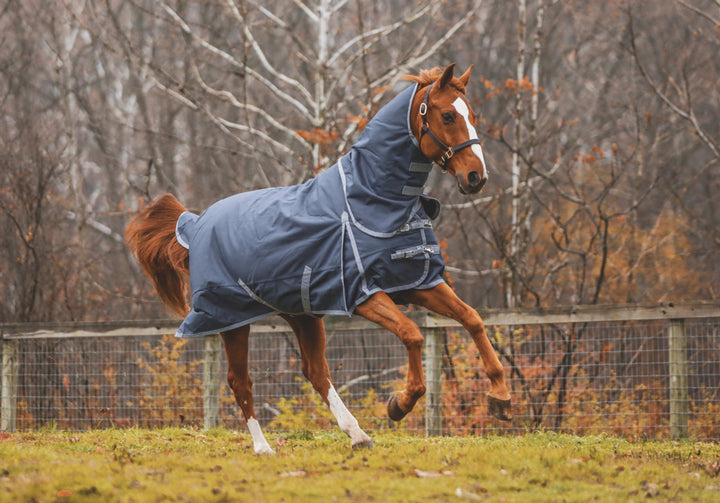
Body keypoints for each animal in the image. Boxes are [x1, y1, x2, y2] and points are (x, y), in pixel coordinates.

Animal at [128, 63, 512, 452]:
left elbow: (472, 319)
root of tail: (195, 223)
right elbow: (413, 334)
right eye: (448, 115)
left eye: (473, 115)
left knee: (315, 372)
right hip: (231, 320)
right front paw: (400, 404)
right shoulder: (362, 294)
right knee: (240, 381)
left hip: (302, 315)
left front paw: (500, 398)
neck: (372, 200)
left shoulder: (416, 282)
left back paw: (358, 435)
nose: (476, 177)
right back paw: (264, 448)